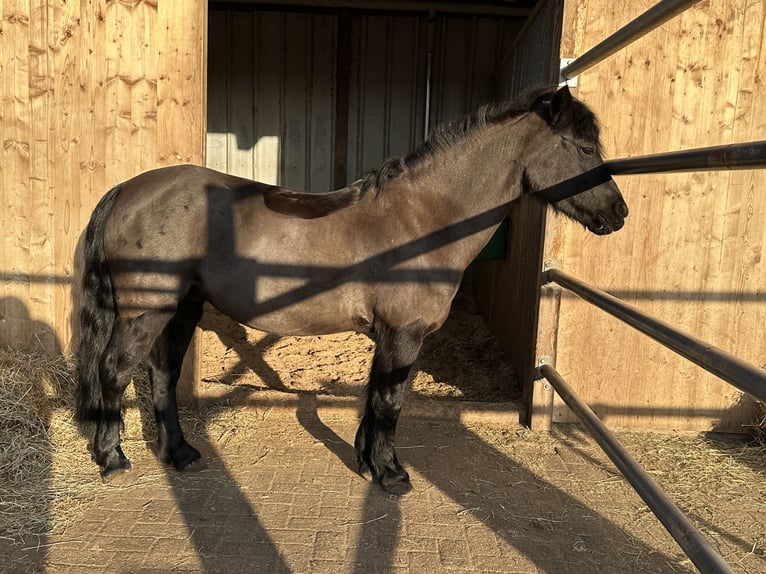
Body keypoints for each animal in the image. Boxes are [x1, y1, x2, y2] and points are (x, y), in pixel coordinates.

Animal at [74, 85, 628, 495]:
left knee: (162, 376)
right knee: (114, 371)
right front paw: (391, 474)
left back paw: (182, 454)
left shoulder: (386, 335)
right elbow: (390, 401)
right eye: (583, 148)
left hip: (181, 307)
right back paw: (112, 458)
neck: (425, 217)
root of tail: (127, 190)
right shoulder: (404, 333)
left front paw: (367, 462)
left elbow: (374, 397)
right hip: (147, 311)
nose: (618, 213)